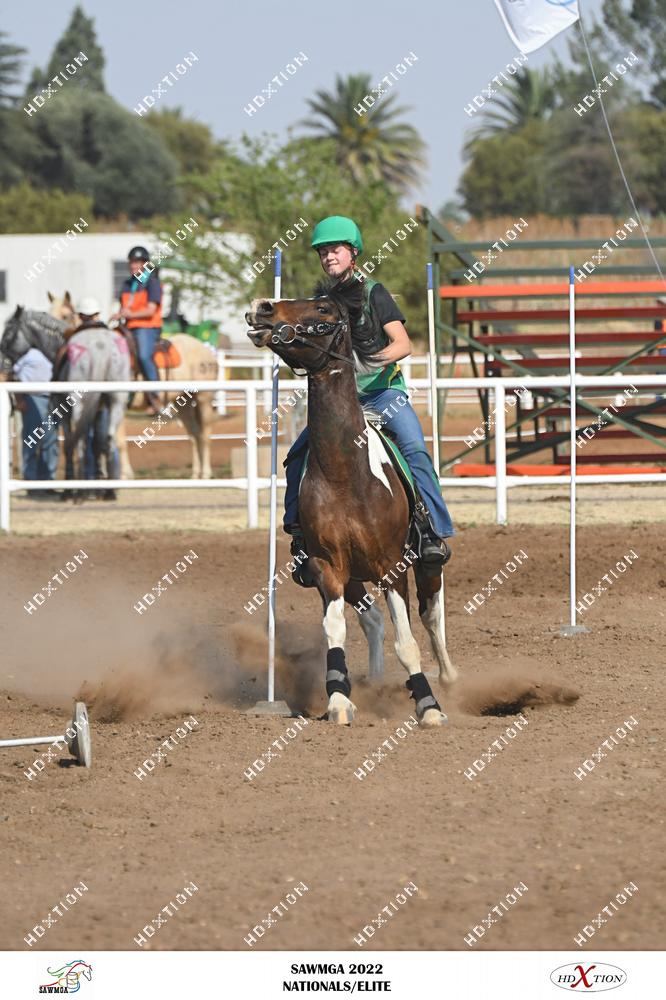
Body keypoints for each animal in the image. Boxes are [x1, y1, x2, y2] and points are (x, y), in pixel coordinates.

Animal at [1, 306, 130, 497]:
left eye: (9, 331)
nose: (3, 364)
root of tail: (100, 347)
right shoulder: (98, 410)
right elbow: (96, 445)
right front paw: (98, 487)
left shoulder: (63, 408)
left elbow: (70, 443)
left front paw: (70, 489)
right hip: (116, 404)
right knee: (107, 440)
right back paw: (107, 492)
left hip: (79, 406)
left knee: (80, 442)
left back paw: (79, 493)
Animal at [48, 292, 219, 478]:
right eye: (49, 312)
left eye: (65, 315)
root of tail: (206, 350)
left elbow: (118, 441)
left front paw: (124, 474)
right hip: (183, 404)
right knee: (194, 434)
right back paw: (196, 474)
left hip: (203, 399)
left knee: (205, 434)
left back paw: (206, 473)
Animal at [246, 277, 456, 727]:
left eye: (323, 309)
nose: (262, 307)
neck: (346, 473)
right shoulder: (327, 567)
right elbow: (336, 630)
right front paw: (340, 699)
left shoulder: (393, 567)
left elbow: (408, 641)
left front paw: (428, 705)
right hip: (354, 576)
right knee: (373, 622)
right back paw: (374, 684)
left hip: (425, 563)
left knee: (431, 615)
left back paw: (447, 677)